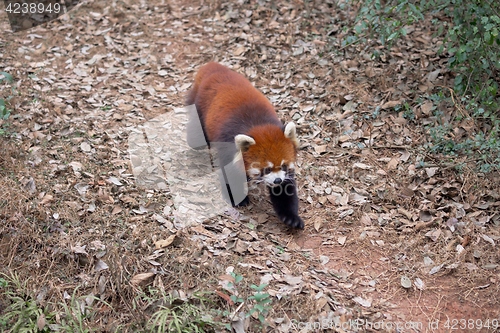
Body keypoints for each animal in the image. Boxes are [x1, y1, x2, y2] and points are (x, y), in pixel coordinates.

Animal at [186, 62, 302, 228]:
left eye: (284, 166)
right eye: (266, 169)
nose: (277, 181)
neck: (259, 126)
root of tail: (215, 69)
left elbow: (286, 190)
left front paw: (291, 217)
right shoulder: (228, 147)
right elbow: (230, 173)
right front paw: (239, 198)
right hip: (201, 108)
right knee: (195, 137)